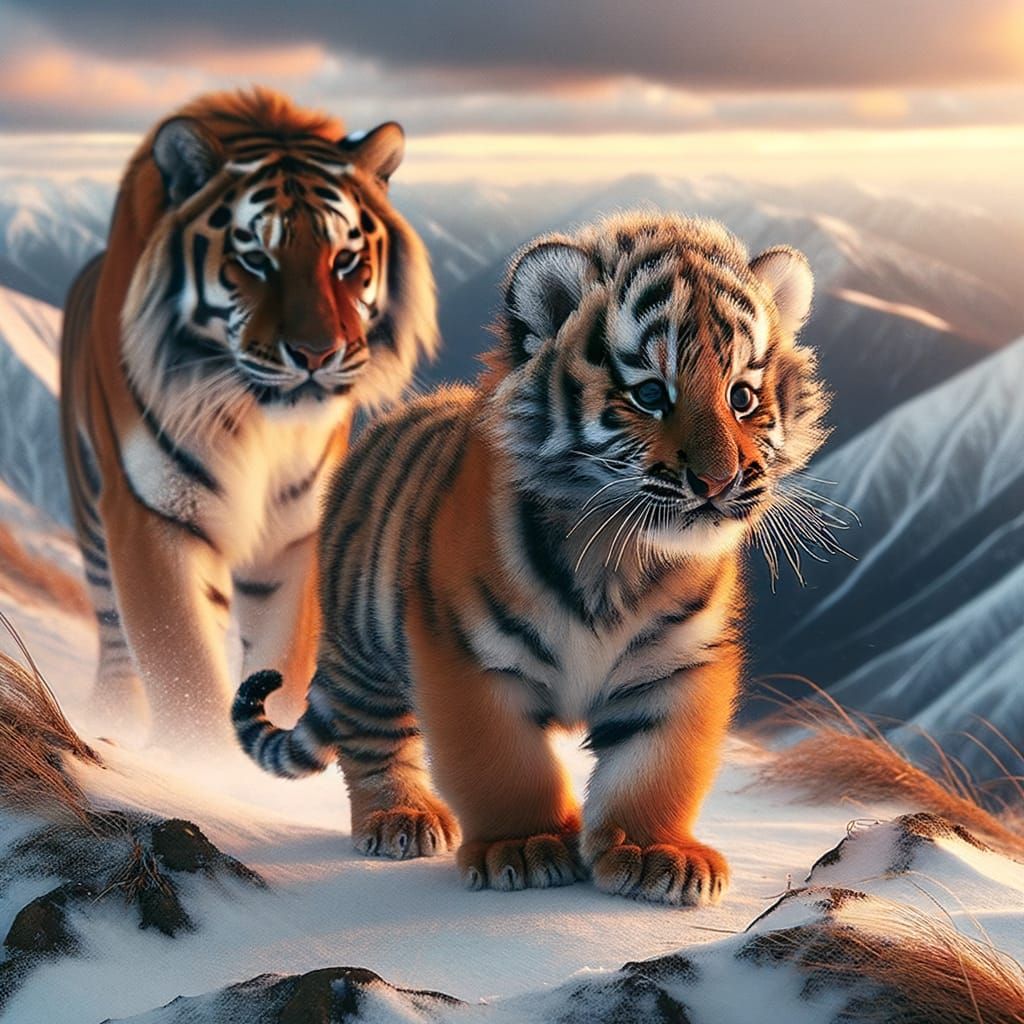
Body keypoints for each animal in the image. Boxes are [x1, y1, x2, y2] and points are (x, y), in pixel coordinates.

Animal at [59, 87, 437, 746]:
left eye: (345, 260)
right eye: (256, 260)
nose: (316, 354)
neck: (254, 420)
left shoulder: (297, 532)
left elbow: (281, 665)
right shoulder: (152, 516)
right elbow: (183, 667)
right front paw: (201, 761)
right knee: (112, 632)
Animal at [232, 211, 829, 904]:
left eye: (742, 397)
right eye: (651, 394)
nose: (719, 481)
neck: (618, 556)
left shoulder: (679, 665)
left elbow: (657, 765)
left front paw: (656, 854)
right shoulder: (467, 656)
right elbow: (503, 763)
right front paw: (525, 846)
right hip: (362, 647)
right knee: (372, 737)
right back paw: (401, 817)